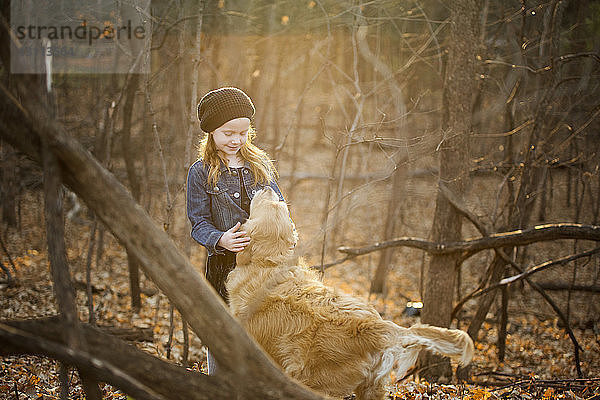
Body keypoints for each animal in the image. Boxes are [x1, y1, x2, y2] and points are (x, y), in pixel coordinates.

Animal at [225, 188, 474, 400]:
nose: (268, 188)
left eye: (268, 204)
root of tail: (378, 325)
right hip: (372, 387)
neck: (269, 261)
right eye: (281, 207)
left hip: (312, 379)